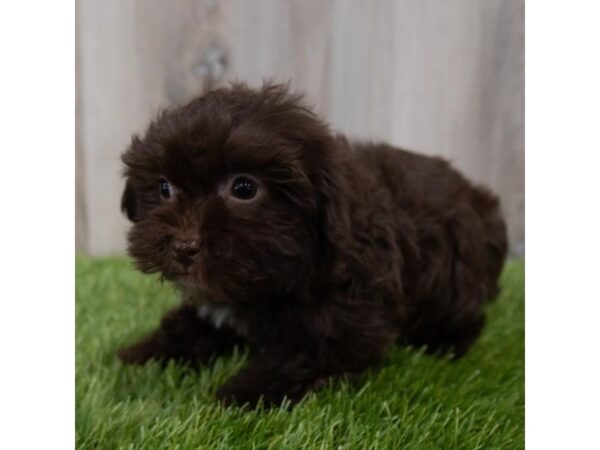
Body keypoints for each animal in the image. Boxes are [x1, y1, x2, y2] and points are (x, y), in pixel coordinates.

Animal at [117, 81, 506, 408]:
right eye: (164, 188)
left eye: (244, 188)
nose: (184, 246)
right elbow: (186, 327)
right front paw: (141, 356)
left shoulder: (347, 318)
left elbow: (304, 355)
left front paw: (242, 393)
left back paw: (444, 342)